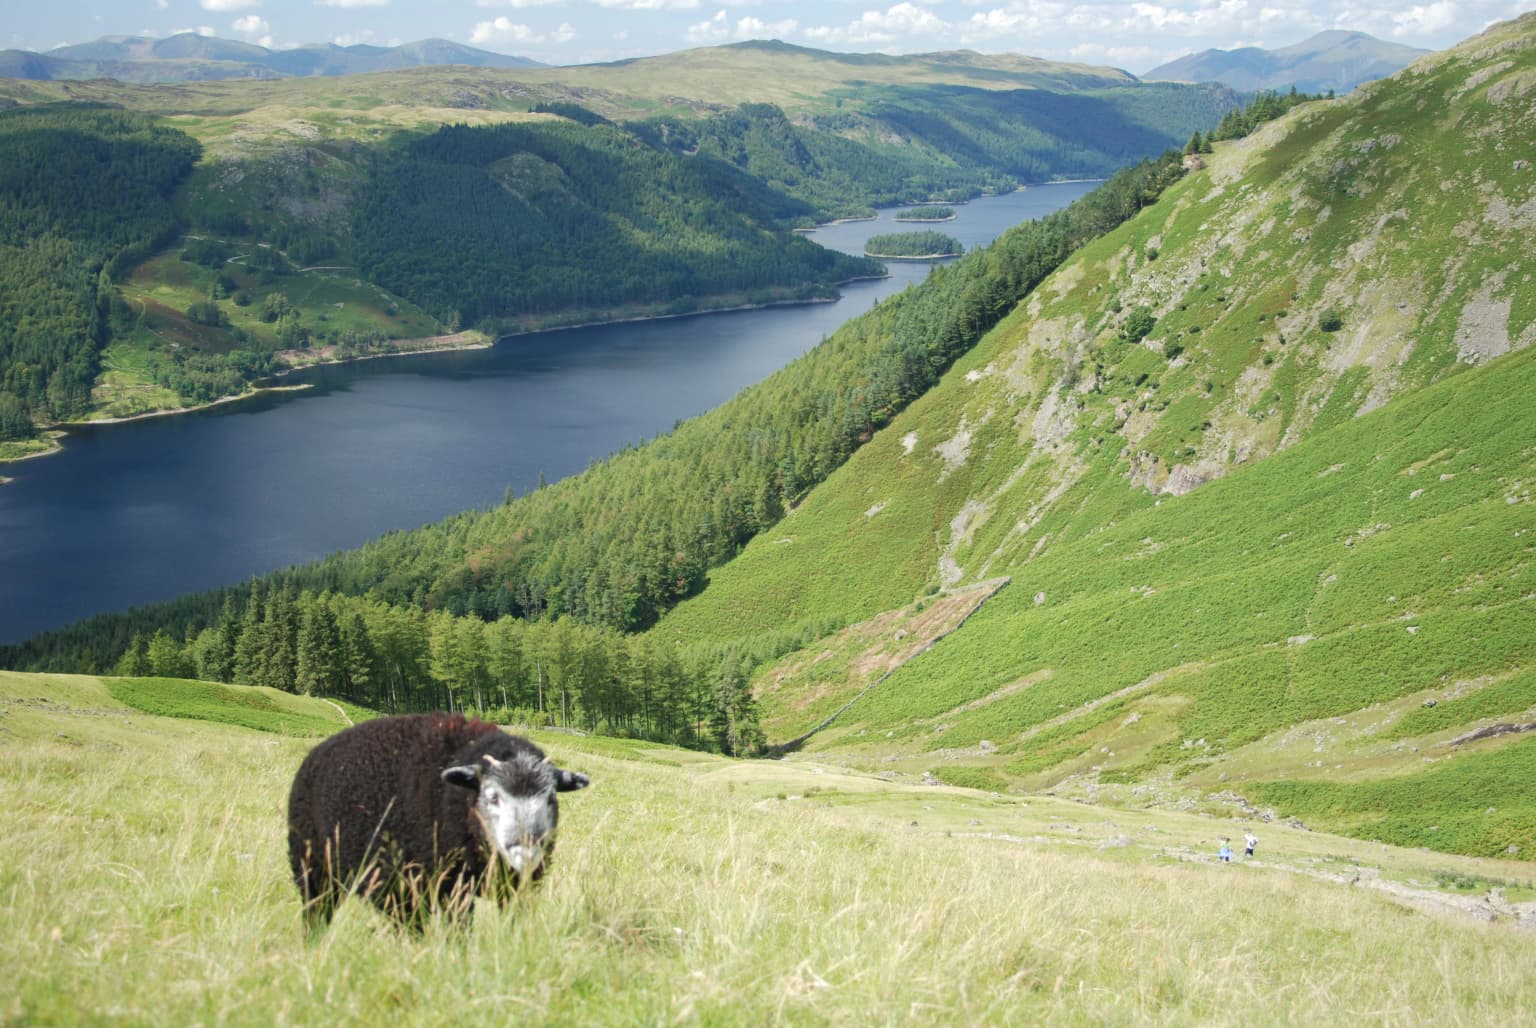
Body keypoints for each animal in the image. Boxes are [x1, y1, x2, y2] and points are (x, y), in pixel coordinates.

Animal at [286, 713, 590, 932]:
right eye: (492, 797)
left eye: (550, 796)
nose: (526, 851)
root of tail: (317, 751)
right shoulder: (445, 887)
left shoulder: (514, 888)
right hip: (313, 868)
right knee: (318, 911)